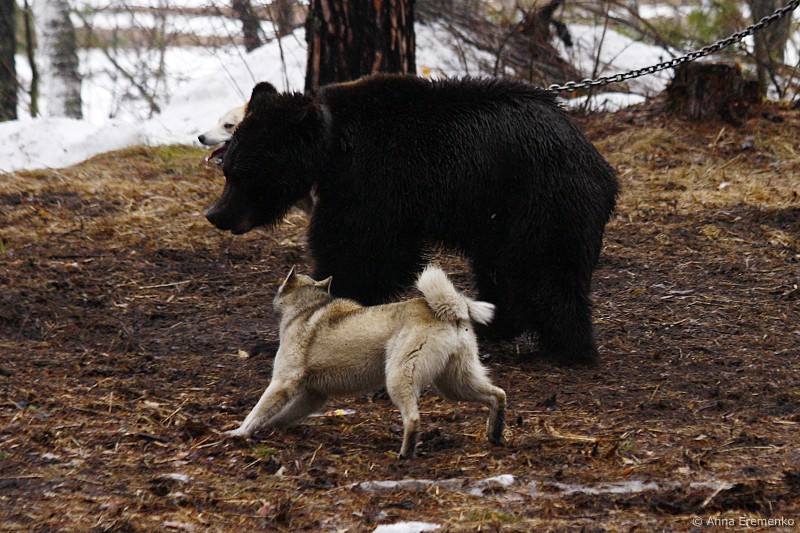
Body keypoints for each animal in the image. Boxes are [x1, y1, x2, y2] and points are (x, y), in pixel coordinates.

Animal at [205, 74, 618, 365]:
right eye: (227, 169)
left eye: (241, 174)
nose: (216, 215)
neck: (332, 149)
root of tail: (598, 163)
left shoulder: (376, 181)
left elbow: (362, 251)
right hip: (499, 218)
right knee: (500, 270)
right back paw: (494, 324)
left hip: (539, 199)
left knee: (545, 271)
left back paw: (567, 347)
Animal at [225, 265, 507, 459]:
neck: (305, 308)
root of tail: (450, 310)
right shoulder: (313, 395)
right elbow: (281, 415)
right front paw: (270, 428)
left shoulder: (283, 383)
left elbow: (257, 411)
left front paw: (239, 433)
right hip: (455, 383)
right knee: (498, 395)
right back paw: (495, 433)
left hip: (399, 377)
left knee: (413, 418)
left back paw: (405, 454)